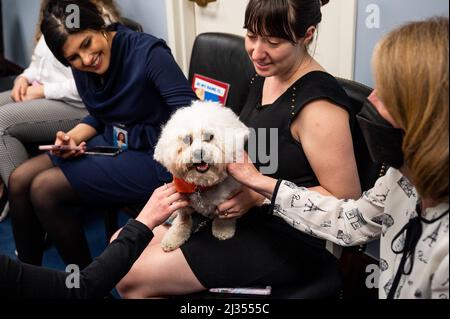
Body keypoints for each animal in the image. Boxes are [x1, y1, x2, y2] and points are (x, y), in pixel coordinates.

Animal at [153, 100, 248, 252]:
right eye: (187, 139)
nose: (199, 153)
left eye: (209, 136)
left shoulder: (229, 200)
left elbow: (224, 218)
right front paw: (174, 237)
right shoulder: (183, 203)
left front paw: (223, 230)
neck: (202, 186)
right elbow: (182, 220)